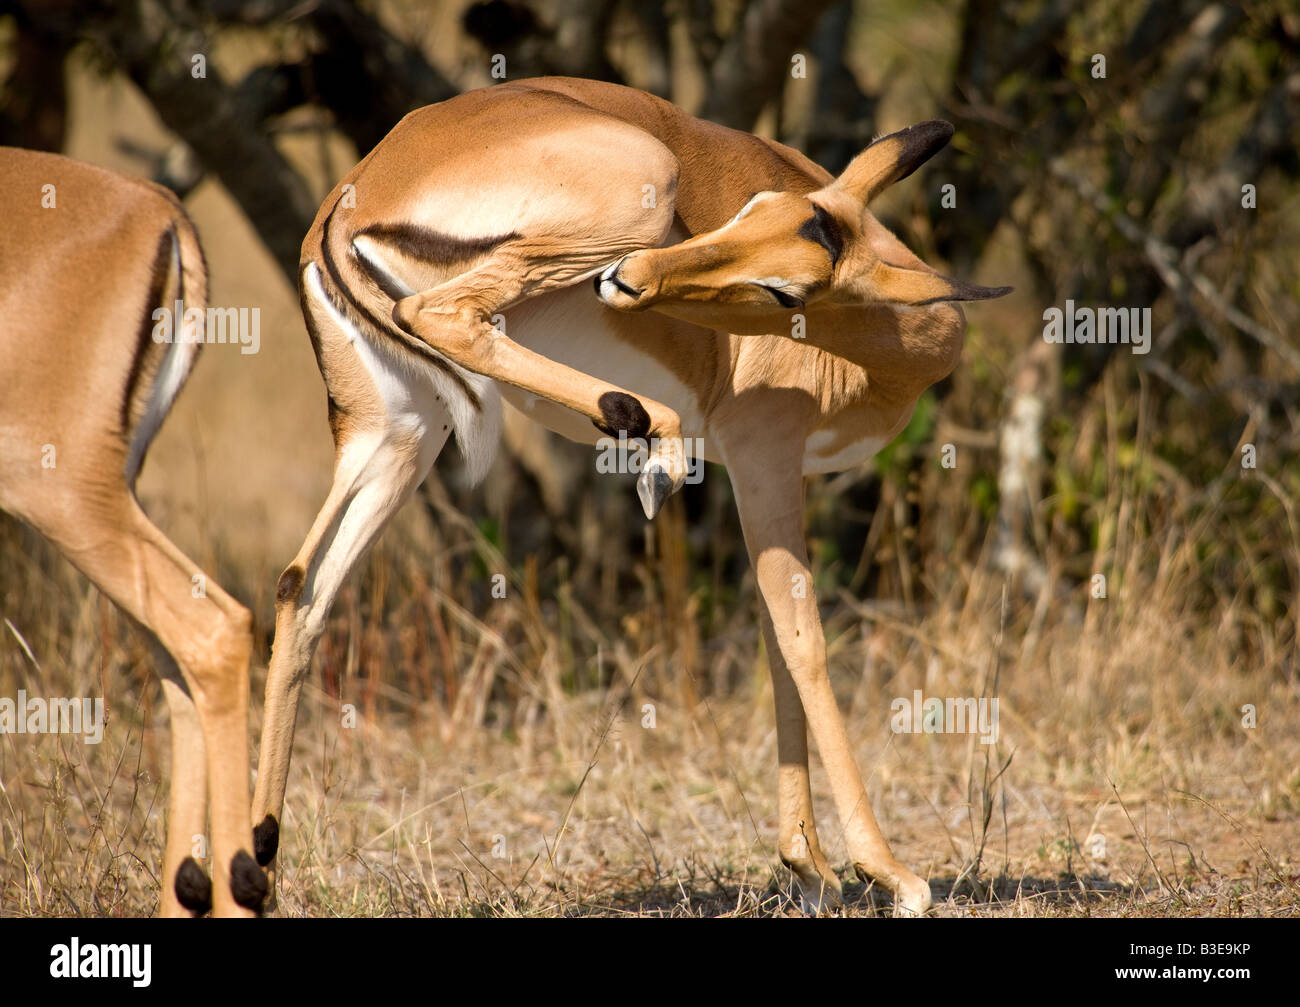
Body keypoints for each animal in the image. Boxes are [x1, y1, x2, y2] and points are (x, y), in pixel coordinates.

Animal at [252, 77, 1010, 916]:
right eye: (750, 208)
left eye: (783, 284)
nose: (630, 278)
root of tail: (353, 196)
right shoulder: (764, 456)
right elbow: (805, 642)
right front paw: (887, 871)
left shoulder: (767, 476)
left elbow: (776, 642)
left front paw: (808, 865)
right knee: (441, 314)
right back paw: (649, 432)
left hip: (397, 433)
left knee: (300, 588)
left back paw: (255, 871)